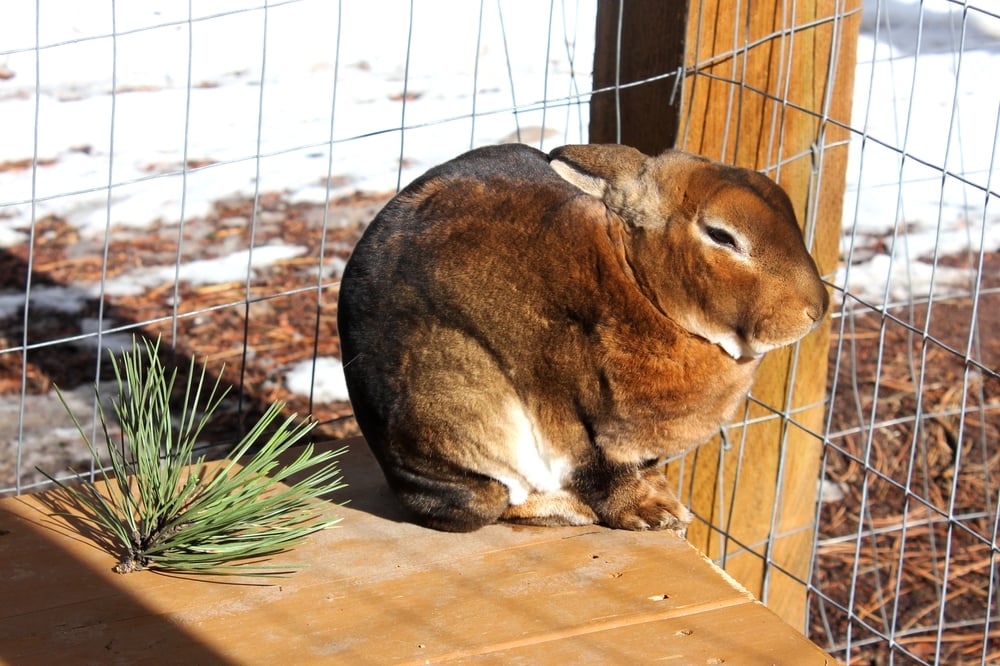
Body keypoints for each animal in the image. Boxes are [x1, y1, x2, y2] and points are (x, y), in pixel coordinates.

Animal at [337, 142, 829, 533]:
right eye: (722, 236)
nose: (815, 310)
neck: (641, 284)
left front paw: (663, 500)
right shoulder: (580, 421)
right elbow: (602, 473)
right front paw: (651, 515)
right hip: (454, 410)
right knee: (482, 505)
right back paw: (563, 509)